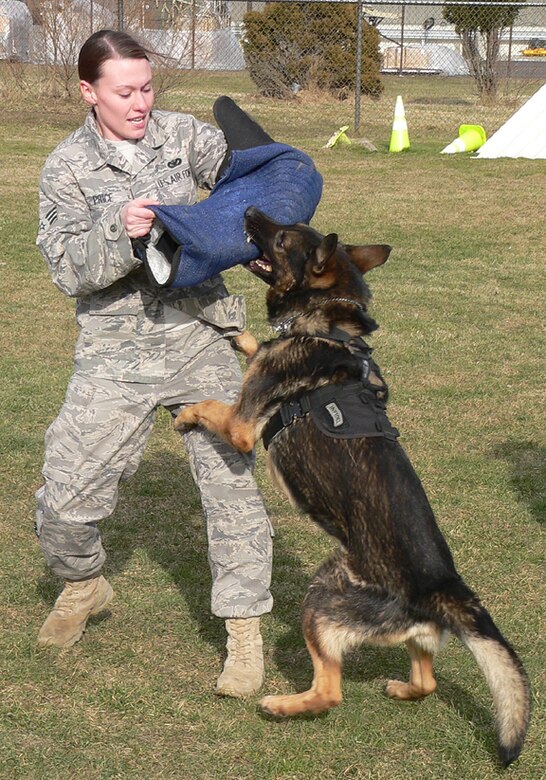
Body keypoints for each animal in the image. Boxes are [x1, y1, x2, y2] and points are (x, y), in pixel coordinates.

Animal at [174, 207, 528, 768]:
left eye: (281, 237)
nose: (248, 211)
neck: (331, 325)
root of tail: (441, 585)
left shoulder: (241, 427)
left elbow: (212, 405)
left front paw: (187, 413)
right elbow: (256, 344)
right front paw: (241, 336)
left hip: (320, 599)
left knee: (330, 692)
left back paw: (282, 705)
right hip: (395, 626)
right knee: (425, 679)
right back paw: (400, 688)